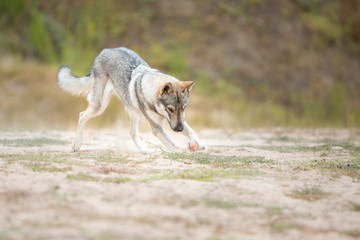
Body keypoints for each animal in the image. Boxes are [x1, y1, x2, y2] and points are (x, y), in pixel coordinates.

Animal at [56, 47, 205, 152]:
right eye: (170, 109)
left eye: (184, 108)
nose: (179, 129)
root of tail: (104, 51)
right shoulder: (157, 128)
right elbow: (173, 145)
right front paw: (181, 151)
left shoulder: (180, 121)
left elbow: (192, 132)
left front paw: (199, 144)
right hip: (100, 106)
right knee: (82, 115)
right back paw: (76, 145)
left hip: (133, 112)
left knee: (132, 133)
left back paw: (145, 151)